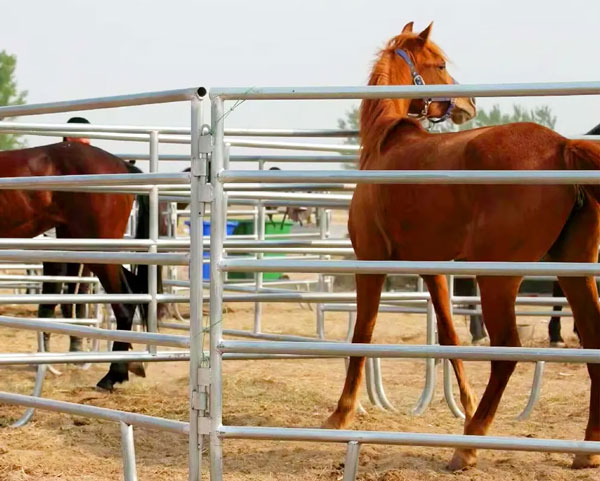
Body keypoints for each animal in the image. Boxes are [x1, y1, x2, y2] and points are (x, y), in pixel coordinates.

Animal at [324, 21, 600, 468]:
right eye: (439, 64)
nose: (469, 103)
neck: (385, 144)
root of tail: (561, 146)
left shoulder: (371, 262)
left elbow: (362, 335)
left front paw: (341, 413)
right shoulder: (433, 269)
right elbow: (450, 338)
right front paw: (465, 406)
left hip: (498, 279)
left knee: (508, 351)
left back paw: (468, 445)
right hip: (573, 268)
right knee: (591, 340)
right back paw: (586, 449)